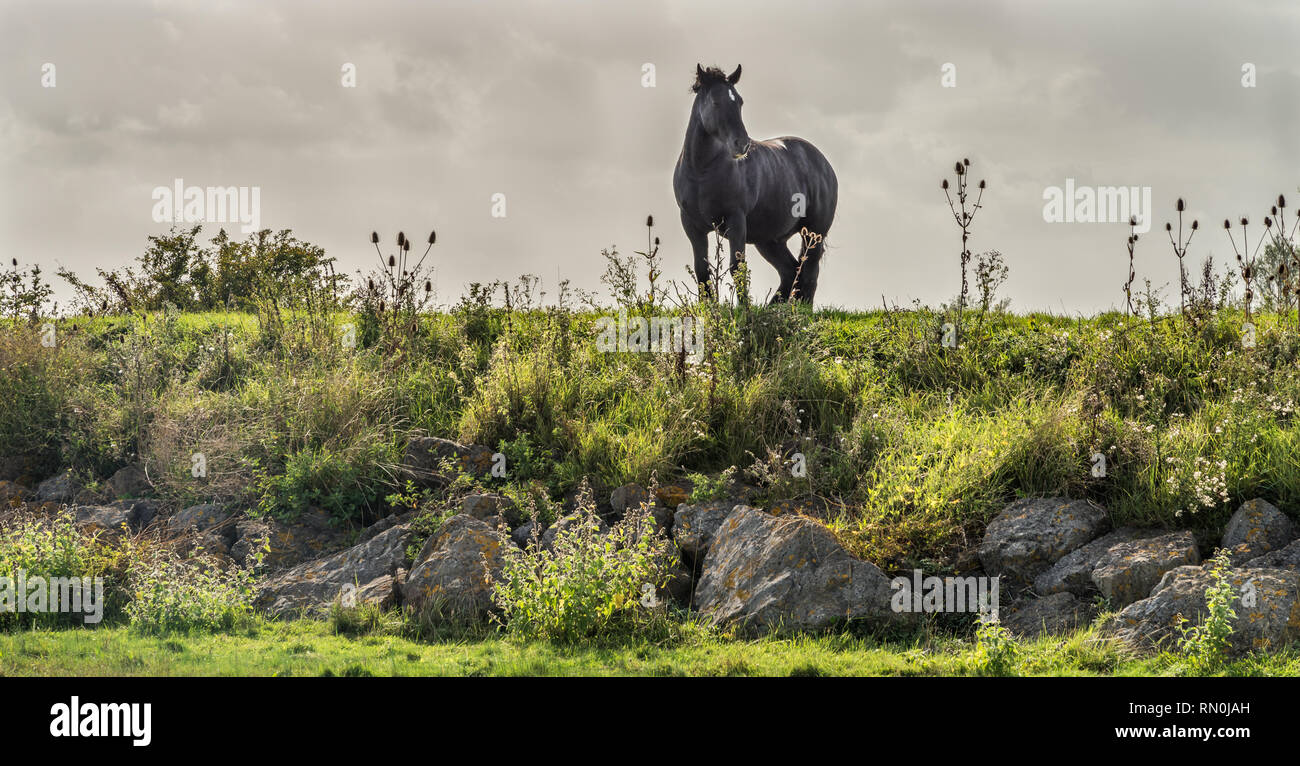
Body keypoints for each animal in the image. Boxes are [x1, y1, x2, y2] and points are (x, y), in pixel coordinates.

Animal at [676, 65, 837, 304]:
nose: (742, 144)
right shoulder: (692, 225)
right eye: (715, 101)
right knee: (790, 272)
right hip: (770, 240)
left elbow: (737, 267)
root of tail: (822, 162)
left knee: (808, 273)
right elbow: (702, 271)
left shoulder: (735, 220)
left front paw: (743, 308)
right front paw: (708, 309)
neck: (701, 173)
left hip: (813, 233)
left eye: (740, 102)